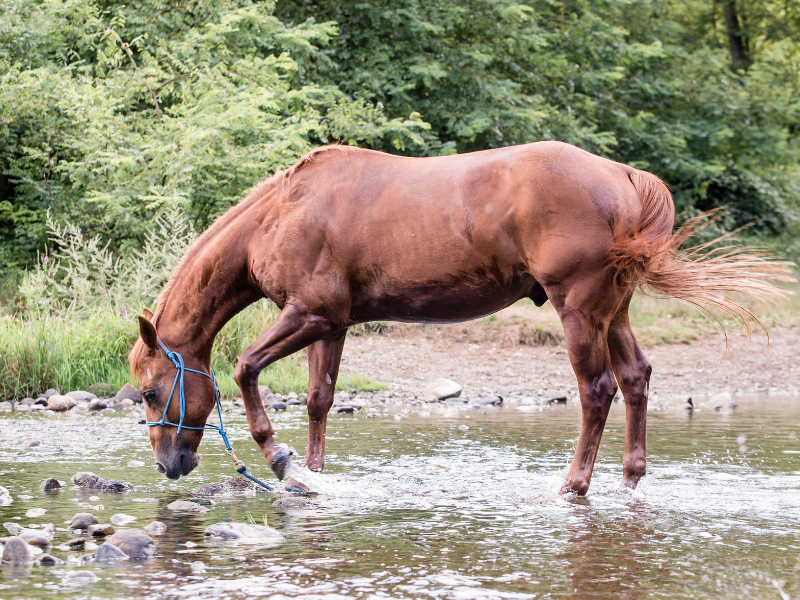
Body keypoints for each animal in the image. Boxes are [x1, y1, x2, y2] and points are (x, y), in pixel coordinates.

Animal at [128, 142, 792, 496]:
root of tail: (624, 177)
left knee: (597, 389)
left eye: (151, 391)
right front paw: (312, 475)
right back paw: (629, 480)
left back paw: (574, 486)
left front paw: (275, 454)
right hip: (616, 311)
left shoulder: (309, 314)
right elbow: (319, 399)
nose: (168, 465)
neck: (284, 212)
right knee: (635, 379)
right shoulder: (331, 323)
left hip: (579, 310)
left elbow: (244, 368)